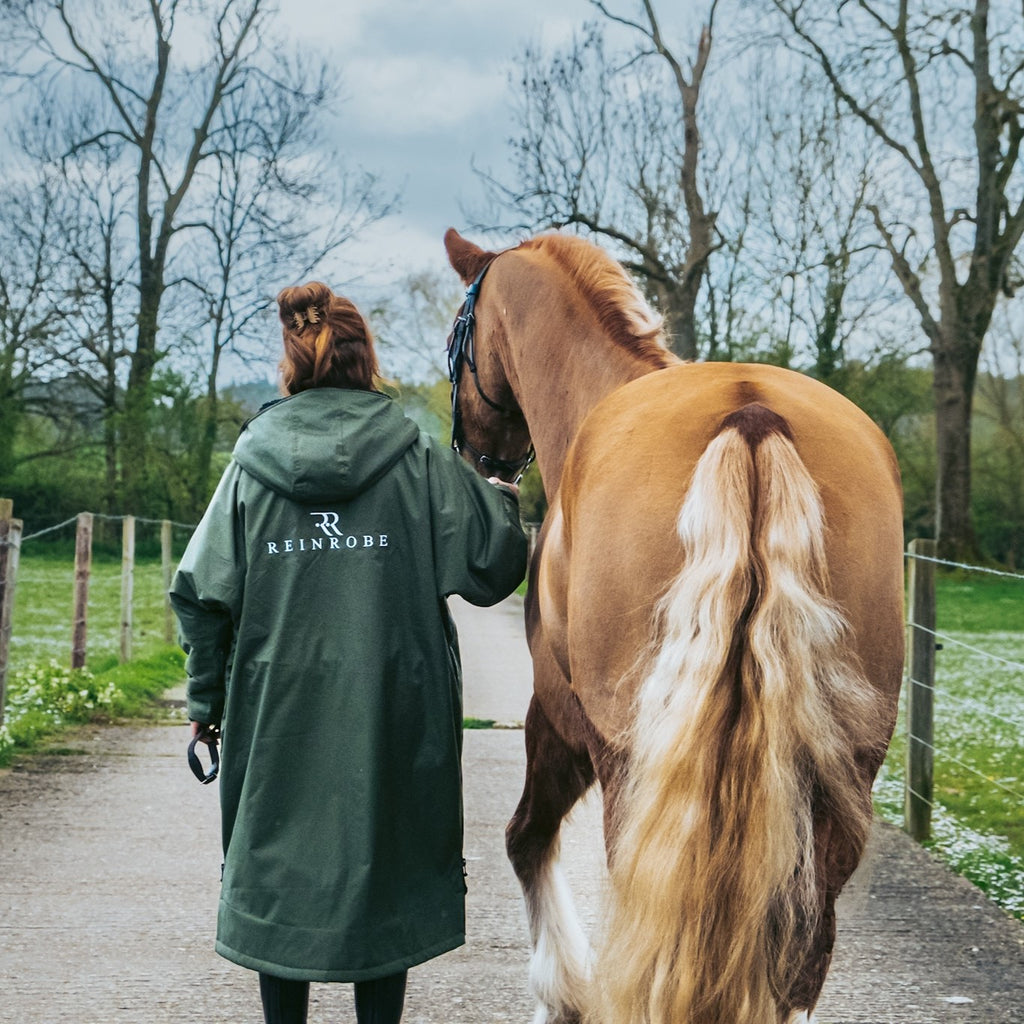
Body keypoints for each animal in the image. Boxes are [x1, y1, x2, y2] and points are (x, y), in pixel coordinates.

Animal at [444, 228, 905, 1024]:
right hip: (843, 774)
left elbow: (524, 839)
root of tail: (752, 417)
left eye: (453, 338)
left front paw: (563, 995)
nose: (477, 460)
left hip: (630, 764)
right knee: (804, 949)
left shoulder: (558, 713)